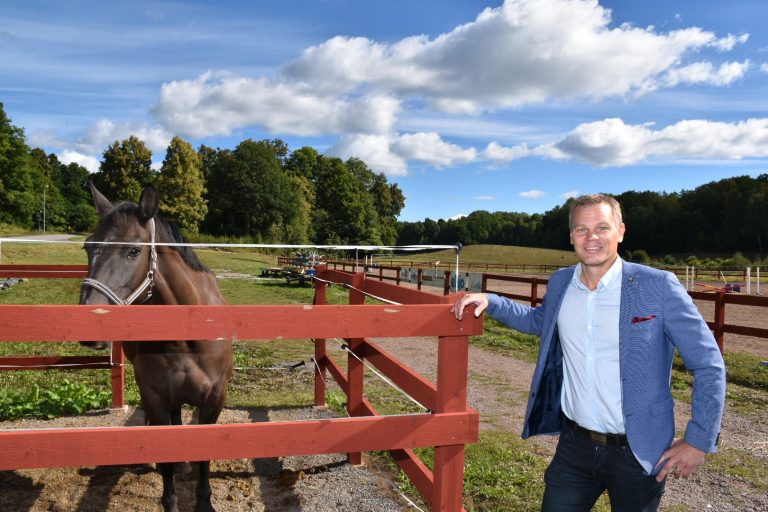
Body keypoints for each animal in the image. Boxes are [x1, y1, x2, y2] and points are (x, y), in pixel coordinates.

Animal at [80, 184, 234, 512]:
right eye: (87, 246)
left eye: (133, 250)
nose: (89, 325)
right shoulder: (155, 397)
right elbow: (165, 461)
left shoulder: (215, 398)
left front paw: (204, 502)